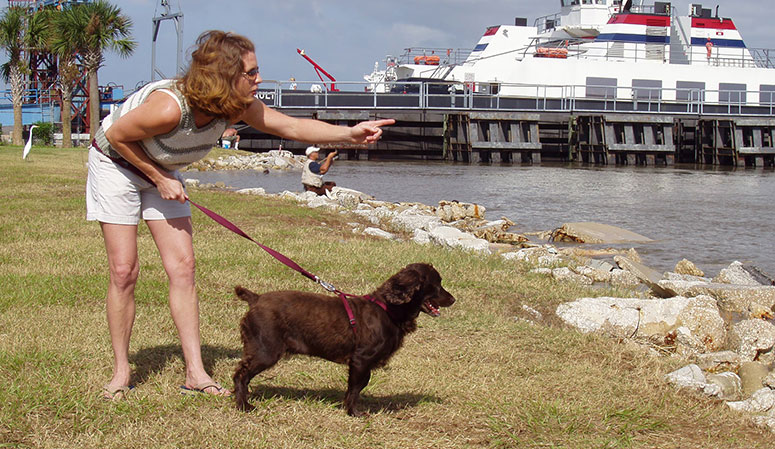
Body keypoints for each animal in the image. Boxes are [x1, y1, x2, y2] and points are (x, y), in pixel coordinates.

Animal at [233, 260, 458, 414]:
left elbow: (357, 386)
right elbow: (357, 387)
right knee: (240, 375)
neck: (387, 309)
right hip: (266, 350)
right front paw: (354, 412)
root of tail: (256, 299)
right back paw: (244, 405)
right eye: (437, 284)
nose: (453, 299)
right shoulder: (361, 360)